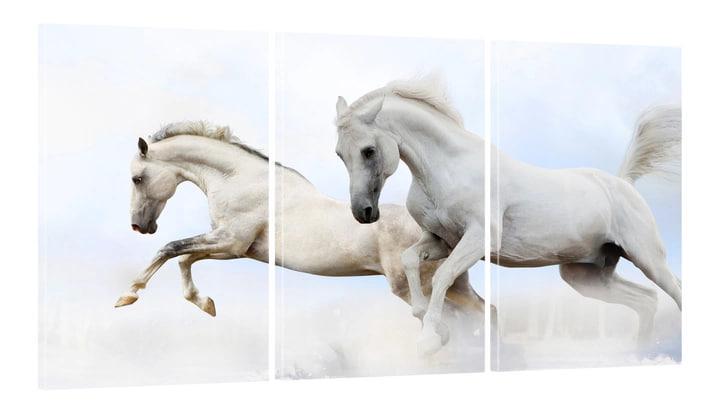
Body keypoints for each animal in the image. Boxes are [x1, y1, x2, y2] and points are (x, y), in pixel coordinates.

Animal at [115, 121, 487, 326]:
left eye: (136, 178)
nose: (138, 226)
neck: (239, 179)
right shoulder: (233, 247)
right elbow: (184, 258)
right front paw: (206, 304)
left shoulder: (230, 241)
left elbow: (171, 249)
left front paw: (128, 296)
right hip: (454, 287)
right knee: (488, 313)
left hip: (414, 289)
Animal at [334, 76, 682, 356]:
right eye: (340, 154)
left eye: (368, 150)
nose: (363, 212)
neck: (447, 170)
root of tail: (624, 183)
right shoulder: (441, 241)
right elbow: (409, 260)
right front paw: (430, 325)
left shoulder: (478, 239)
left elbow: (443, 275)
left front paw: (430, 340)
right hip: (586, 275)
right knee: (647, 300)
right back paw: (638, 353)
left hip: (648, 259)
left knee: (675, 291)